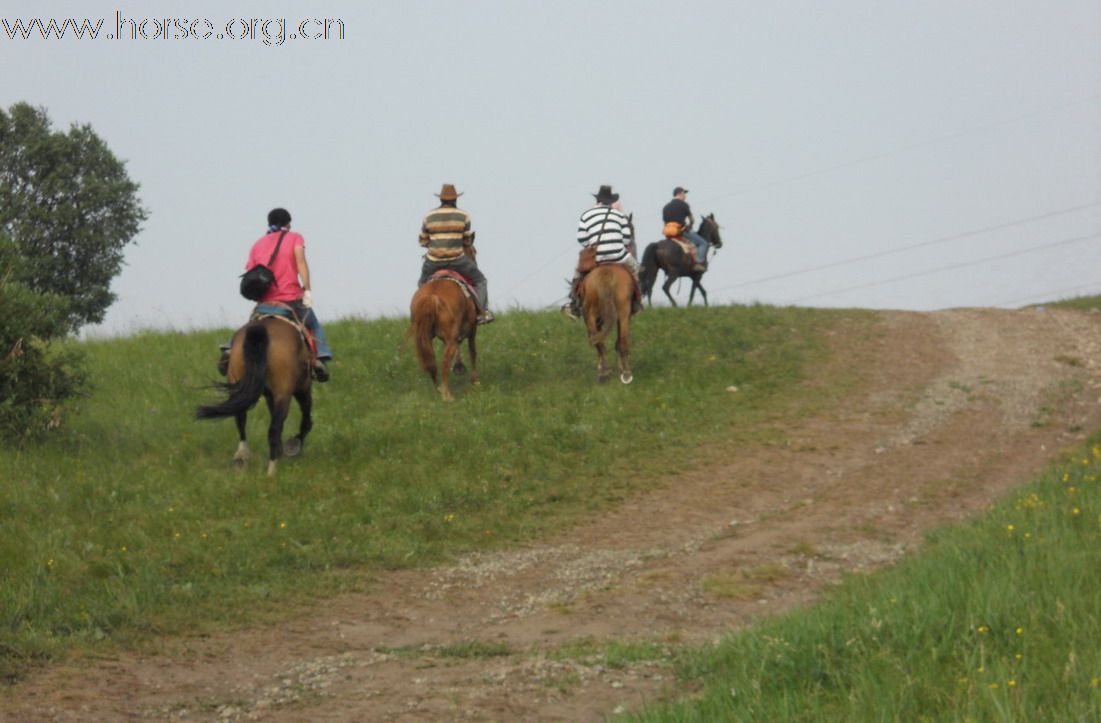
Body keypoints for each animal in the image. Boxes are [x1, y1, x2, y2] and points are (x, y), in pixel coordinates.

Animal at [194, 314, 310, 473]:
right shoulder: (301, 386)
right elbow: (306, 414)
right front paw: (295, 443)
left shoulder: (270, 395)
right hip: (284, 393)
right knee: (274, 428)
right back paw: (271, 470)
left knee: (241, 418)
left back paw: (242, 456)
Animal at [409, 269, 477, 400]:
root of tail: (432, 296)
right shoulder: (472, 330)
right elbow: (473, 353)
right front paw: (474, 381)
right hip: (451, 340)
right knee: (445, 363)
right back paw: (447, 396)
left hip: (425, 338)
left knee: (431, 363)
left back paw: (438, 391)